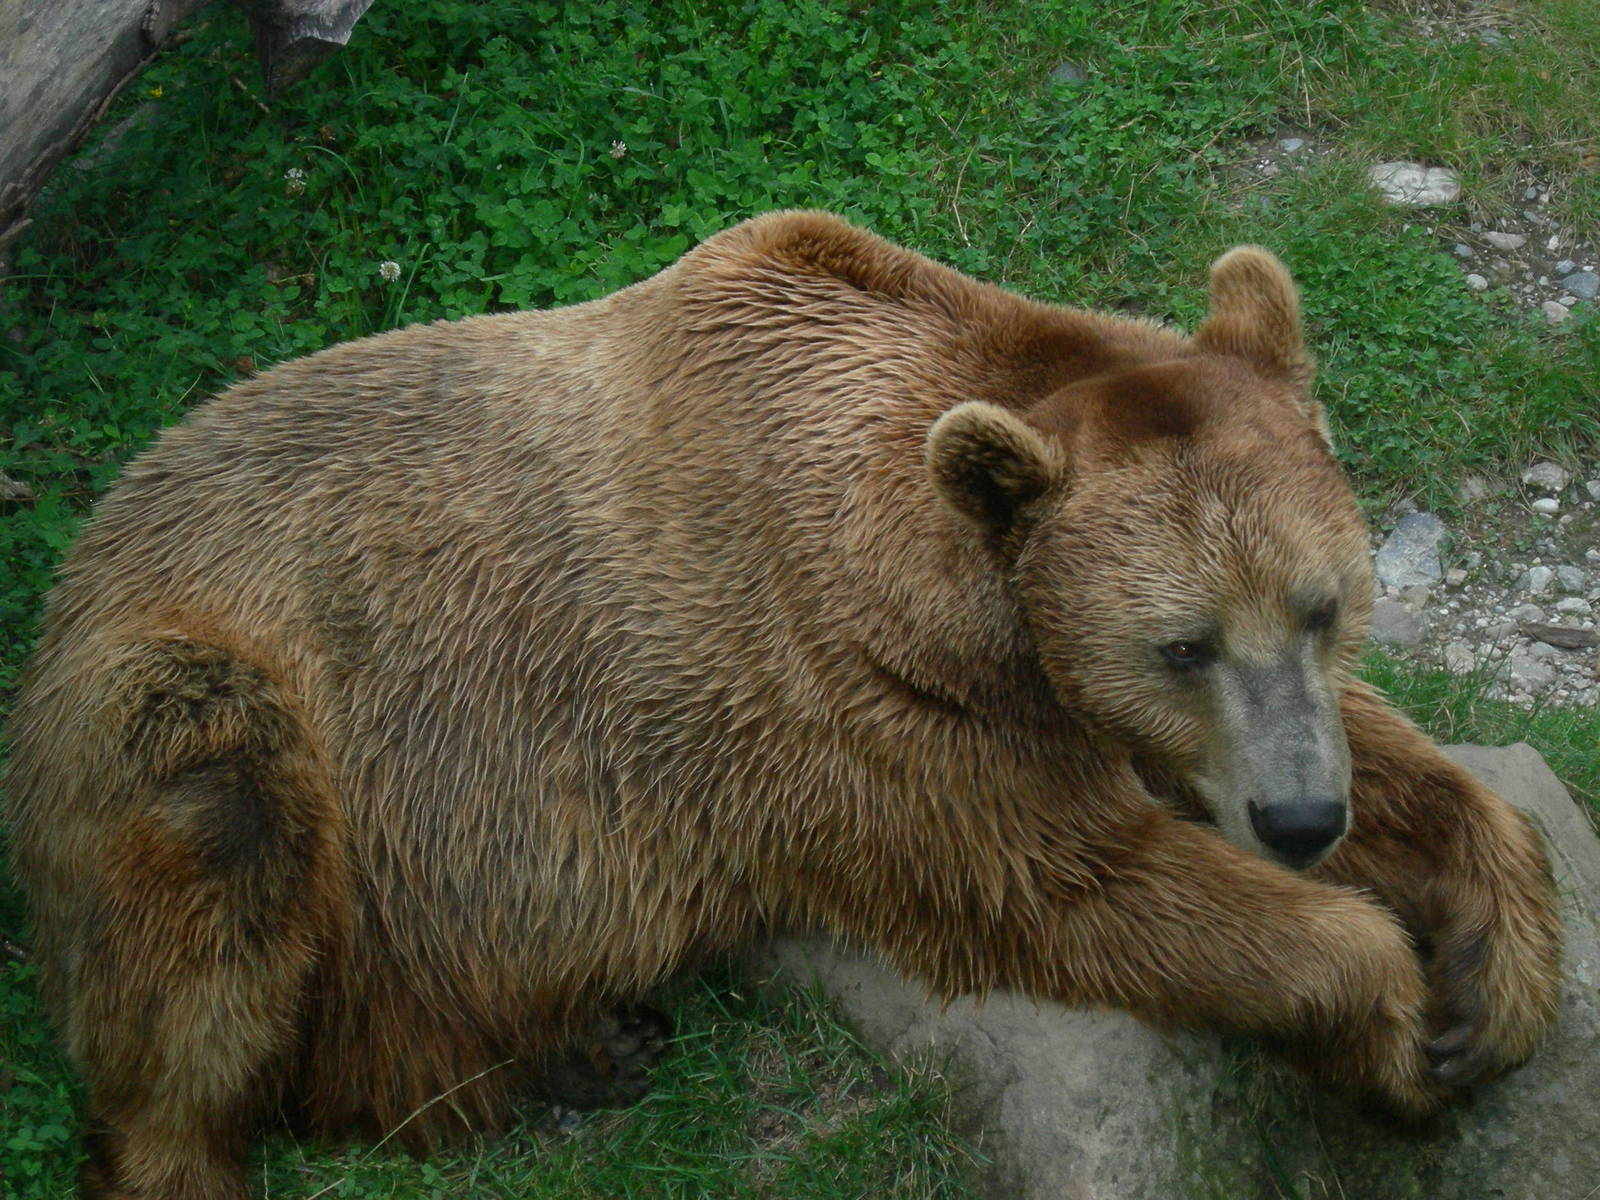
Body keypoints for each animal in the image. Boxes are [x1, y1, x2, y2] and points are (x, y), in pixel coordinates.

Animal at [1, 210, 1562, 1199]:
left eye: (1323, 603)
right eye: (1182, 642)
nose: (1298, 817)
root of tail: (78, 562)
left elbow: (1401, 770)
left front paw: (1492, 970)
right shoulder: (847, 684)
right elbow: (1069, 878)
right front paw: (1393, 1016)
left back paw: (580, 1047)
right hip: (199, 698)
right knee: (212, 857)